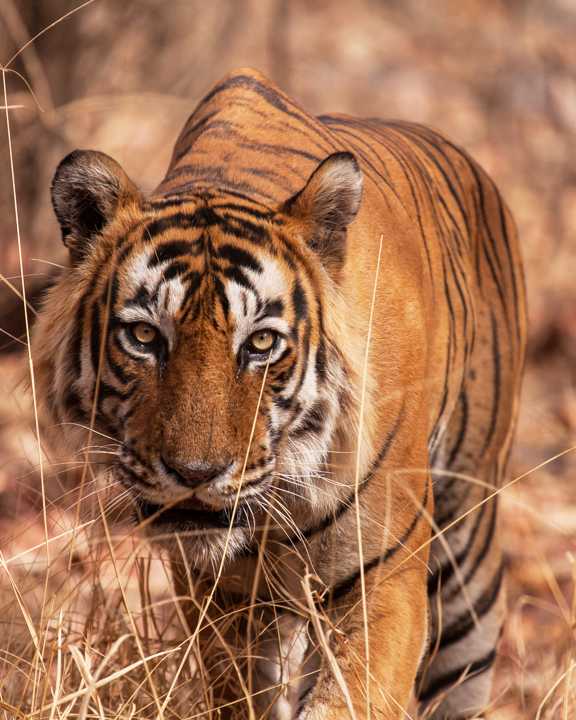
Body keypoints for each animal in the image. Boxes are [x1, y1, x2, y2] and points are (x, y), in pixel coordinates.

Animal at [31, 69, 528, 720]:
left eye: (261, 343)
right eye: (143, 336)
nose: (196, 474)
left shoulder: (383, 580)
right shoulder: (219, 597)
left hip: (467, 546)